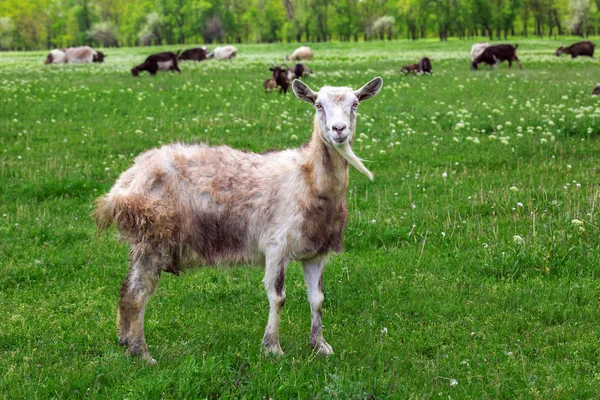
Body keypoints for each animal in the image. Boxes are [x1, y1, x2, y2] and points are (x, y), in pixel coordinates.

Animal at [94, 76, 384, 366]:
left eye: (355, 104)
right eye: (318, 105)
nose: (339, 129)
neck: (308, 179)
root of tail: (125, 182)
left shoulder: (316, 251)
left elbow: (317, 299)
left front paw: (320, 345)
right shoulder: (276, 245)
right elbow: (278, 297)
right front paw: (273, 348)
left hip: (143, 240)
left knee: (126, 288)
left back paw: (124, 340)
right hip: (154, 236)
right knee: (138, 293)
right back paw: (142, 353)